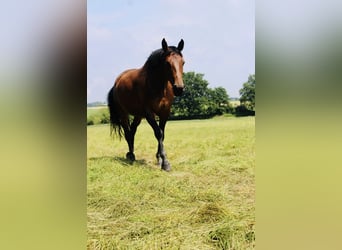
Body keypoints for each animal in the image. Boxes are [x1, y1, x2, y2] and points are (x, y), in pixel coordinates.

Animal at [108, 38, 186, 172]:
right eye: (167, 63)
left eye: (183, 62)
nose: (179, 88)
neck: (157, 86)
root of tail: (117, 83)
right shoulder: (149, 113)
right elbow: (158, 133)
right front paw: (165, 162)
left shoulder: (165, 112)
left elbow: (162, 134)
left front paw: (159, 159)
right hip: (123, 113)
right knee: (127, 132)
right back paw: (131, 155)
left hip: (138, 115)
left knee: (132, 130)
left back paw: (132, 153)